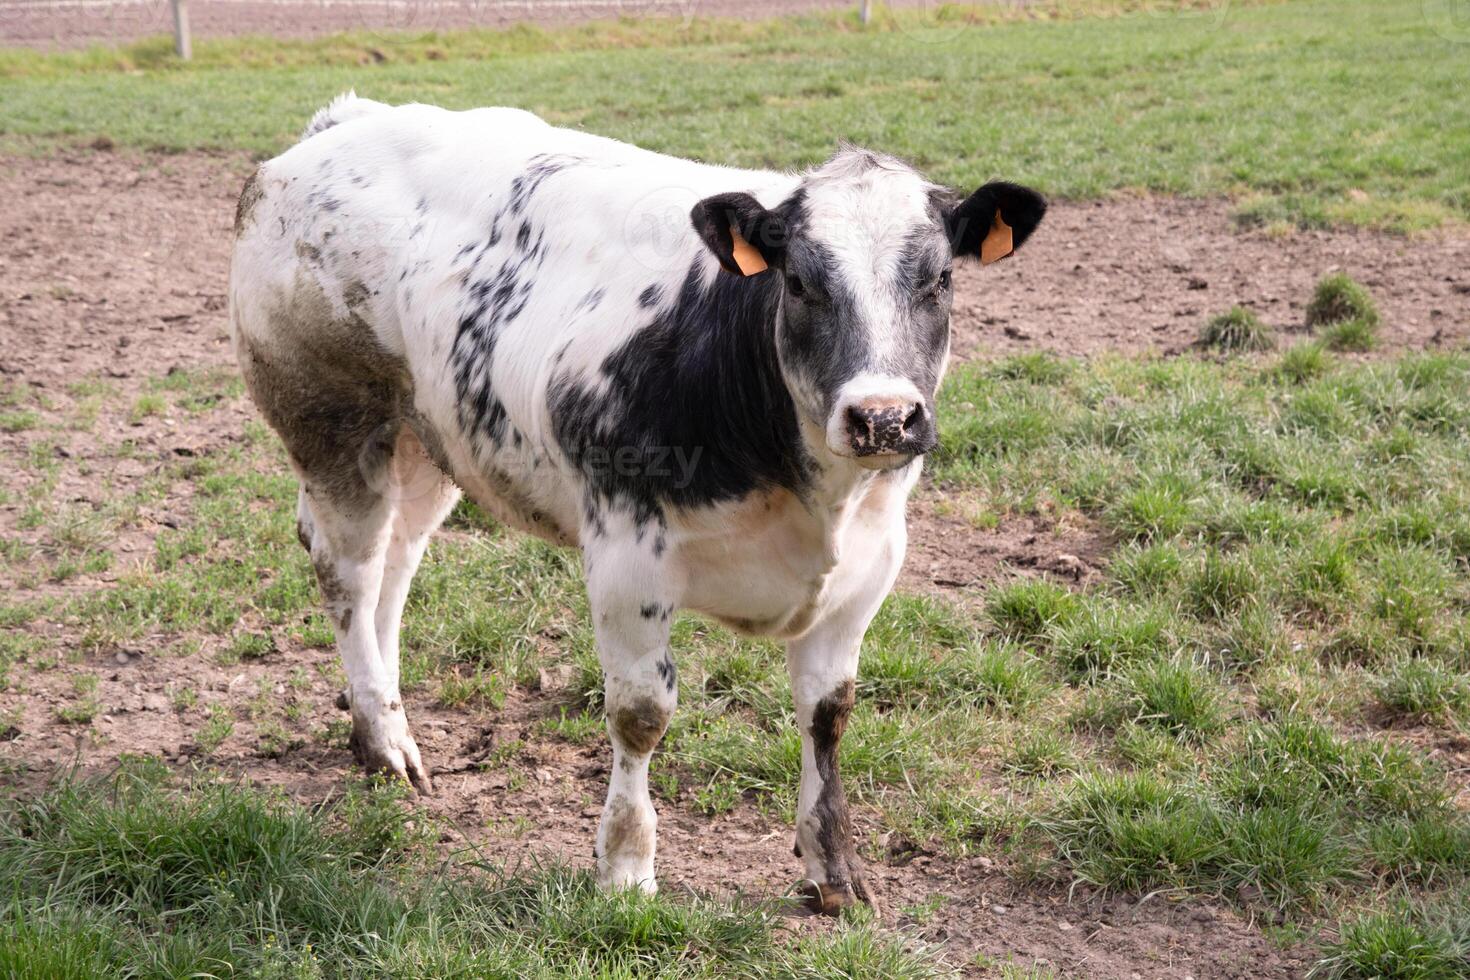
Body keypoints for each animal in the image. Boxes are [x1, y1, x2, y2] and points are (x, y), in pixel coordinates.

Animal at [229, 95, 1046, 916]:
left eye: (940, 277)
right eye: (801, 282)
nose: (882, 418)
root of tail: (348, 120)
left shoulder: (869, 567)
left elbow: (828, 714)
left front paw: (835, 871)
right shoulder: (626, 558)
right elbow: (641, 714)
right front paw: (625, 868)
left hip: (429, 437)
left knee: (396, 570)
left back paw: (386, 722)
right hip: (331, 420)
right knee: (350, 572)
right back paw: (383, 739)